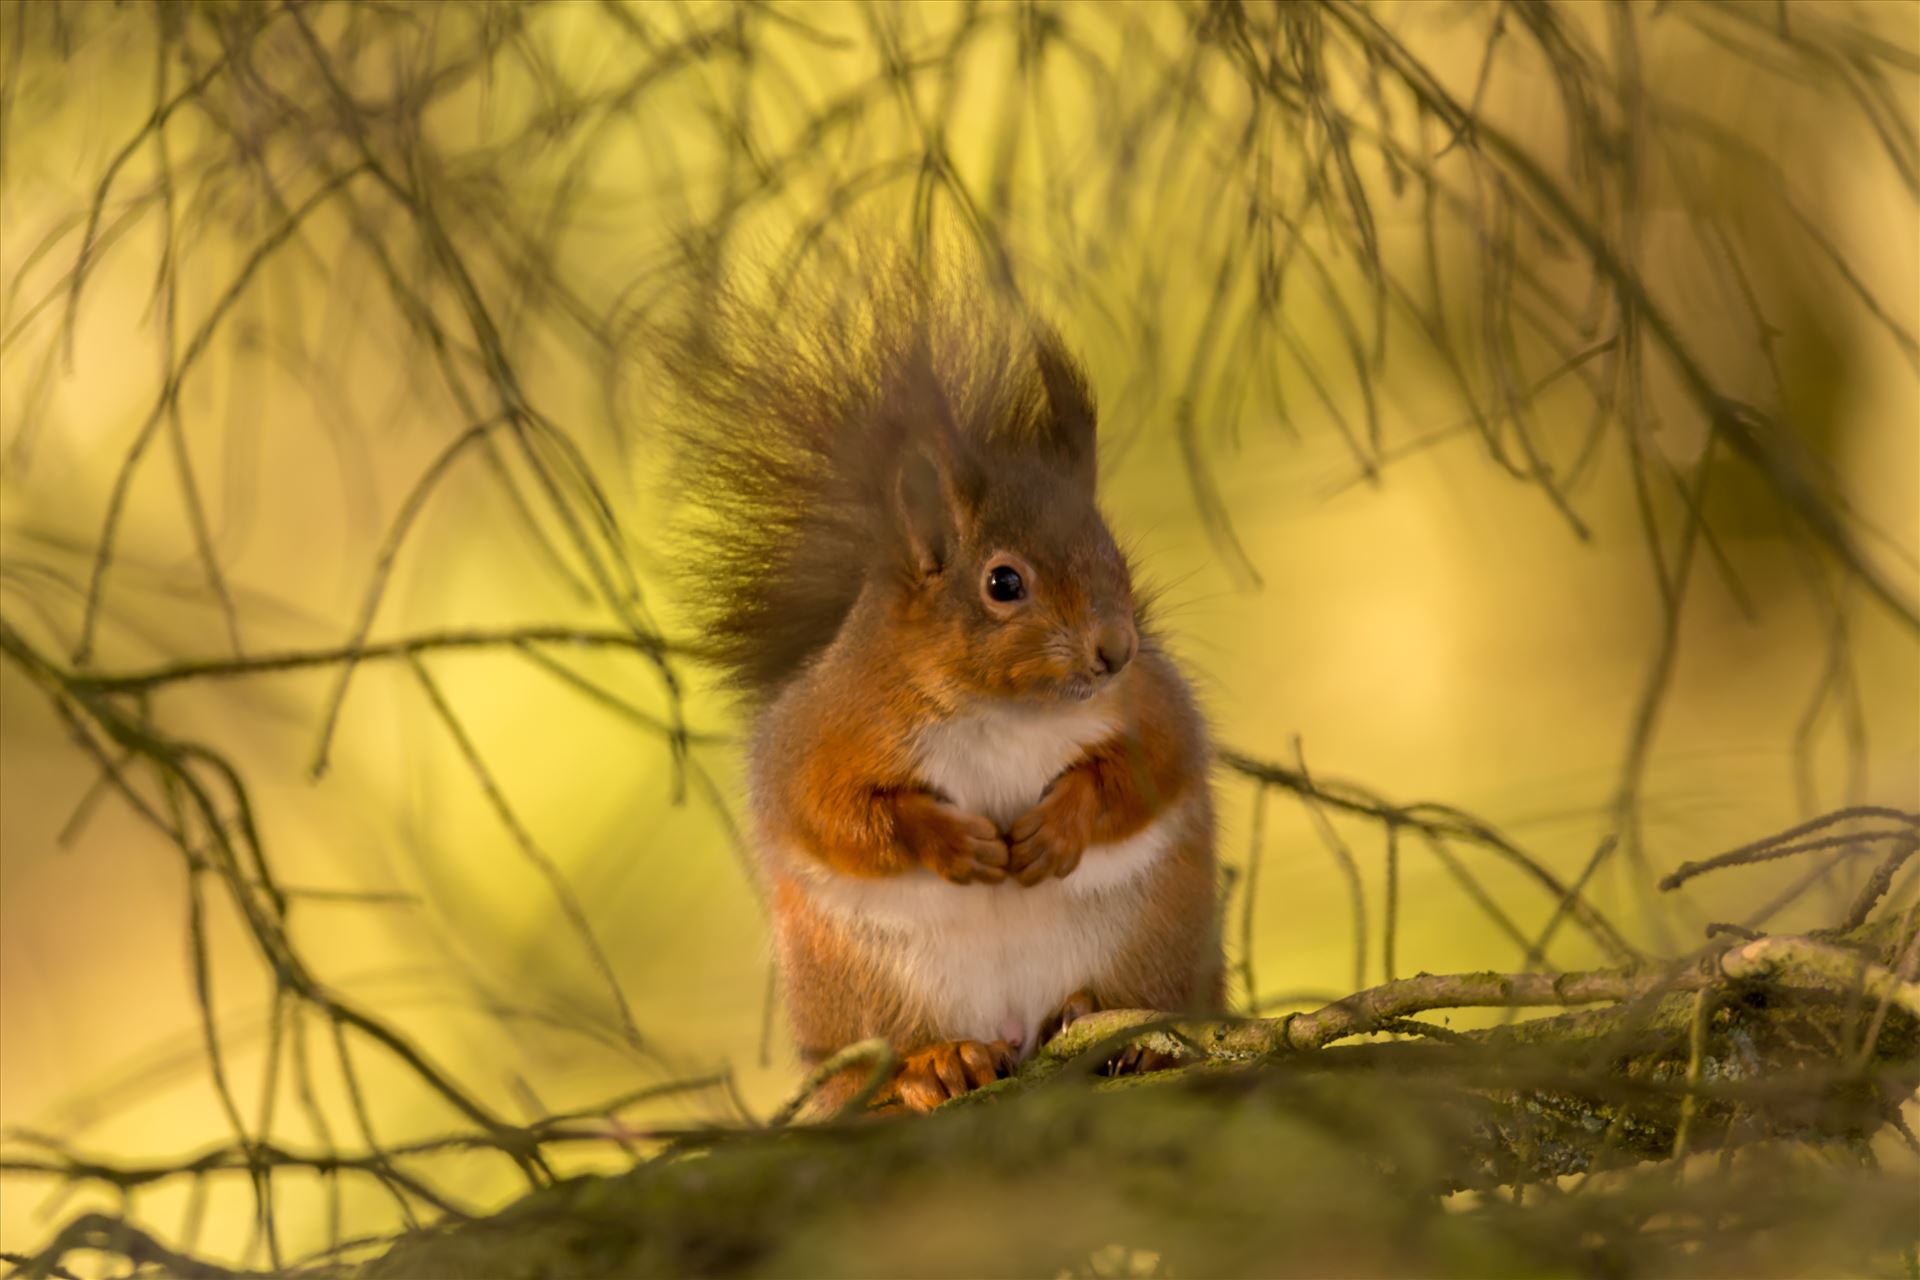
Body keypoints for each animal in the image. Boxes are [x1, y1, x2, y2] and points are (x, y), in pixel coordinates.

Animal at [668, 268, 1221, 1113]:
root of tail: (1015, 1035)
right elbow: (838, 814)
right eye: (1004, 583)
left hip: (1157, 941)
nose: (1116, 652)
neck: (1001, 710)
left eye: (1116, 558)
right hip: (863, 989)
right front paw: (950, 841)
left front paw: (1057, 826)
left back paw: (1122, 1035)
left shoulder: (1154, 709)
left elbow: (1143, 773)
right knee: (881, 1065)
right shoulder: (829, 731)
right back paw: (936, 1065)